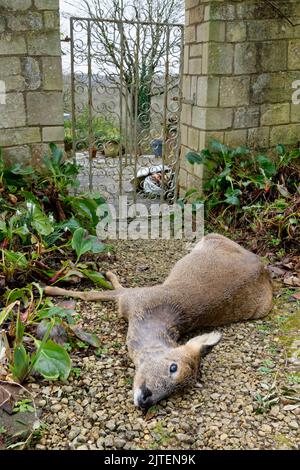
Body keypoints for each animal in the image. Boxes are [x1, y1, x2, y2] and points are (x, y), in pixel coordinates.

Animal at [44, 234, 272, 408]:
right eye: (173, 367)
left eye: (178, 389)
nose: (146, 400)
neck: (150, 321)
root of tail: (263, 266)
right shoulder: (134, 297)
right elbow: (89, 293)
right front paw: (49, 288)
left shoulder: (131, 298)